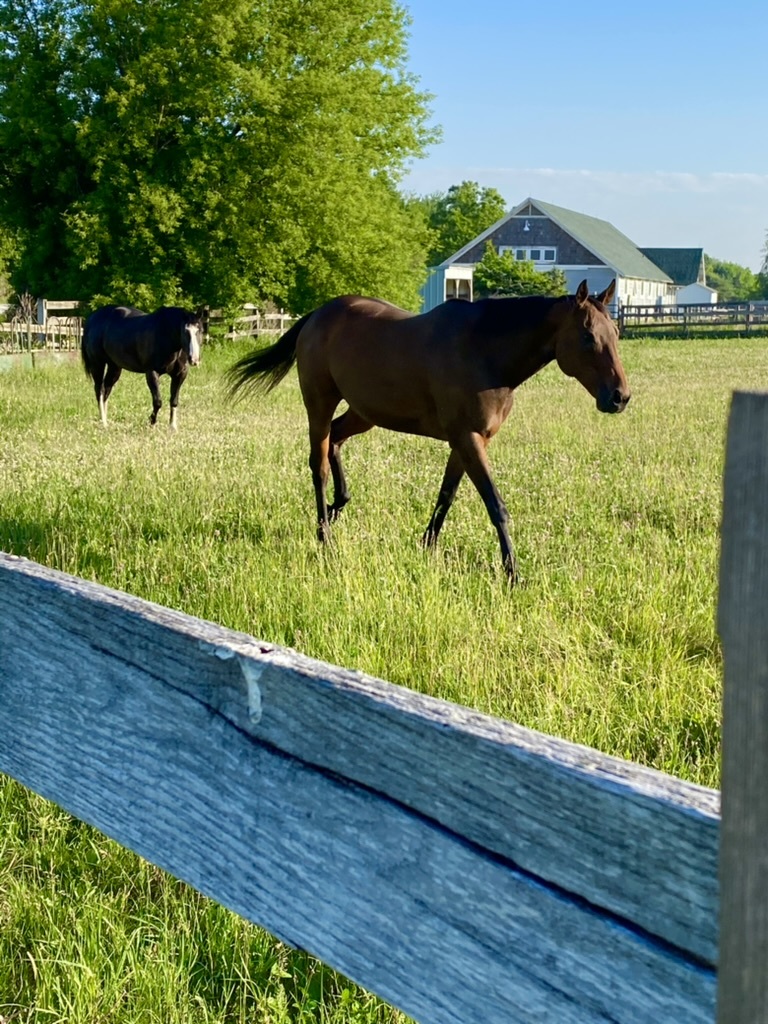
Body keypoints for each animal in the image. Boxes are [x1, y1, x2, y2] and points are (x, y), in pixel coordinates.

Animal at [228, 282, 630, 585]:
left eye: (616, 333)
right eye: (587, 336)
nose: (620, 397)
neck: (485, 352)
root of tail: (317, 314)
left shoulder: (467, 441)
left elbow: (446, 496)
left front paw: (427, 546)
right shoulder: (467, 439)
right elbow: (496, 505)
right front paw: (513, 573)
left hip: (364, 411)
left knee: (337, 442)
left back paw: (337, 506)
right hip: (319, 403)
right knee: (319, 463)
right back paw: (324, 533)